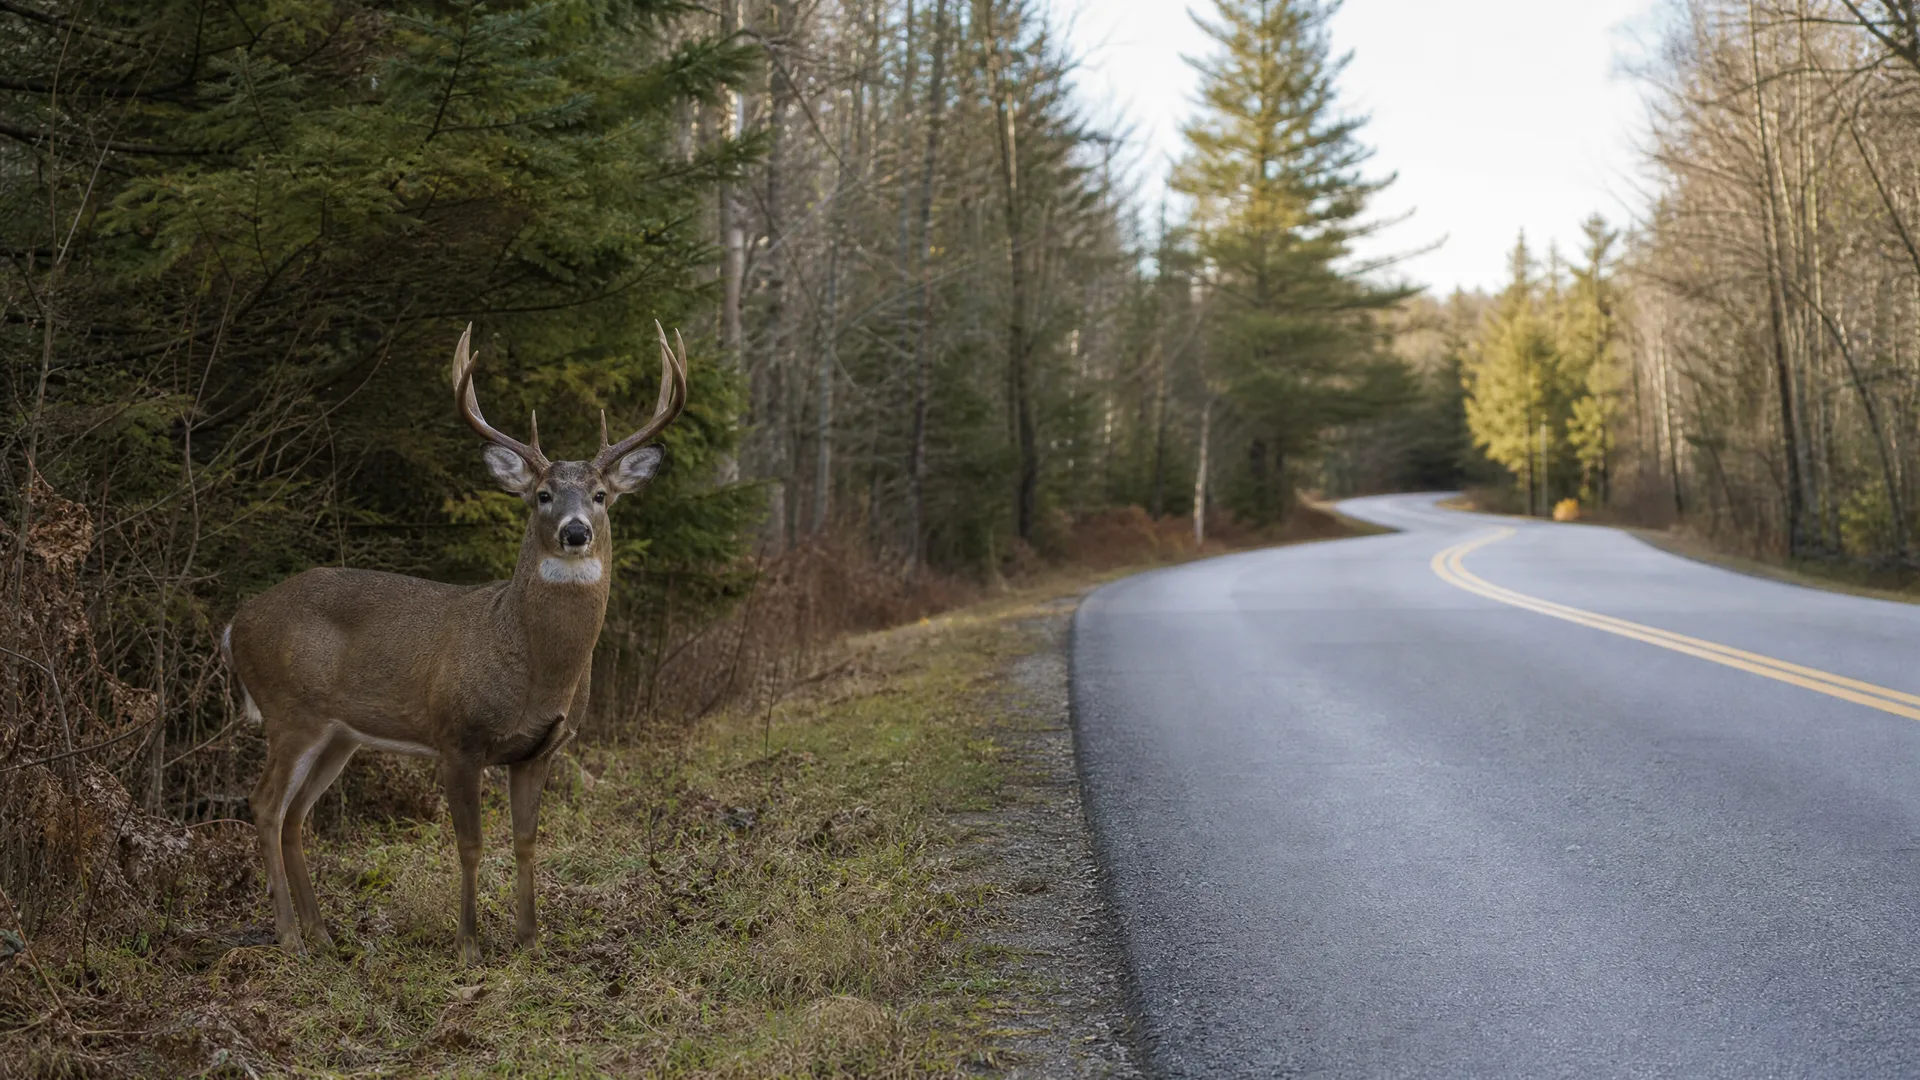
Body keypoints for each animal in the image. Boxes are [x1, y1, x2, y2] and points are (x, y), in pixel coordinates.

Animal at [222, 321, 687, 963]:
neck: (533, 667)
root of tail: (235, 623)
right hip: (289, 710)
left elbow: (526, 841)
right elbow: (470, 843)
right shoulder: (457, 738)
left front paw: (529, 940)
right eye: (542, 494)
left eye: (599, 495)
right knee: (265, 804)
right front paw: (469, 943)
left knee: (295, 815)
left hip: (338, 733)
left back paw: (323, 933)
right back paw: (292, 936)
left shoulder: (540, 749)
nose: (575, 532)